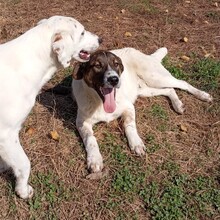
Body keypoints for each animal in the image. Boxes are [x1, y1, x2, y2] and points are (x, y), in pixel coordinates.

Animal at [72, 47, 213, 174]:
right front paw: (94, 159)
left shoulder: (129, 107)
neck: (100, 103)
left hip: (155, 78)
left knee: (182, 83)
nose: (114, 79)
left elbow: (129, 125)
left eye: (116, 64)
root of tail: (144, 54)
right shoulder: (81, 122)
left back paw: (203, 95)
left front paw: (136, 143)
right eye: (97, 65)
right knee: (169, 90)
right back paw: (178, 104)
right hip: (144, 90)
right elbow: (90, 139)